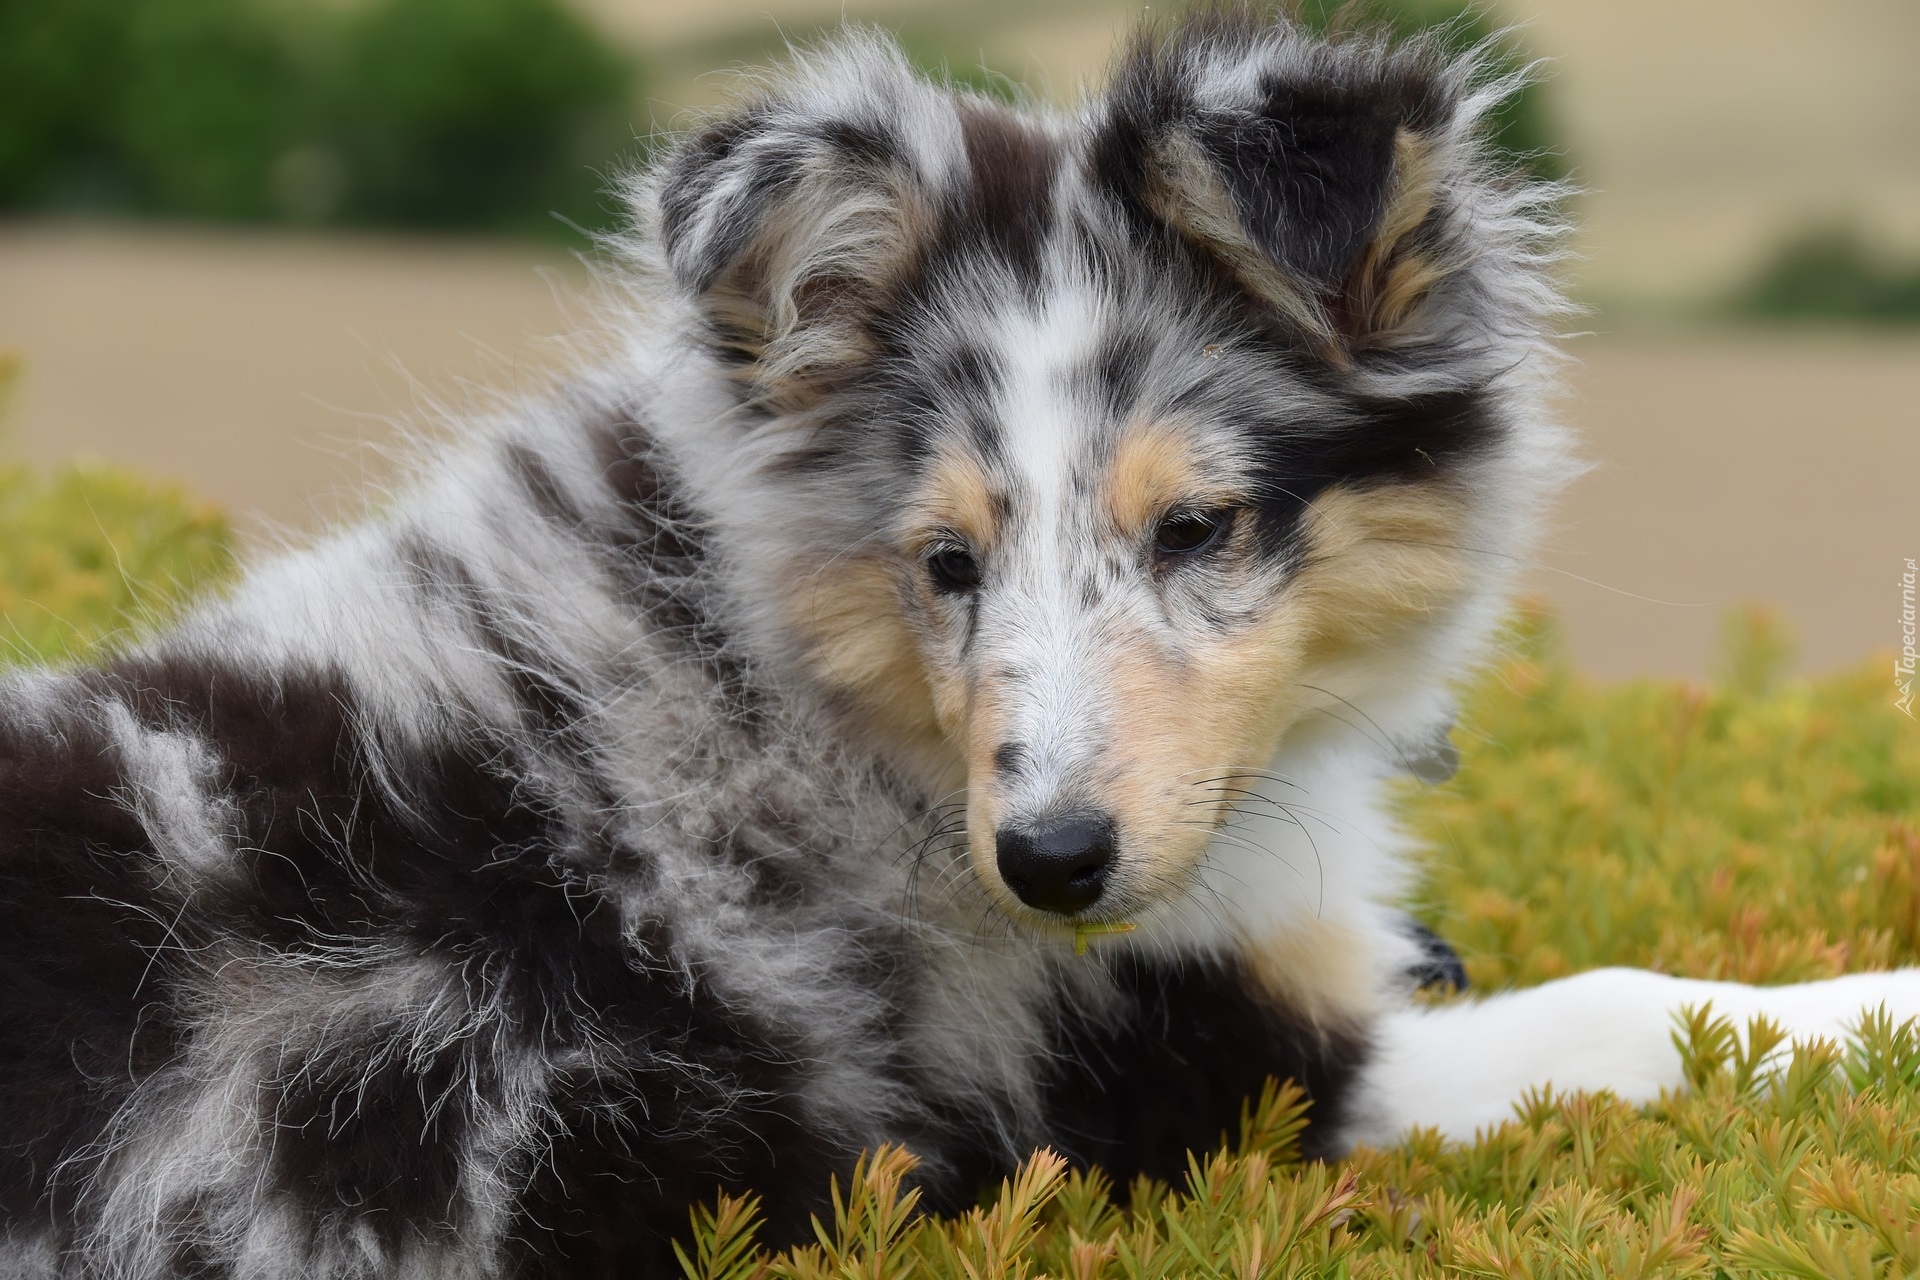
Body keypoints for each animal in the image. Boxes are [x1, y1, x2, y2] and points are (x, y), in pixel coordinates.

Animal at [7, 10, 1912, 1280]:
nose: (1052, 866)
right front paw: (1875, 1002)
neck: (818, 686)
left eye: (1198, 529)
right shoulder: (1225, 1085)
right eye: (948, 561)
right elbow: (1627, 1005)